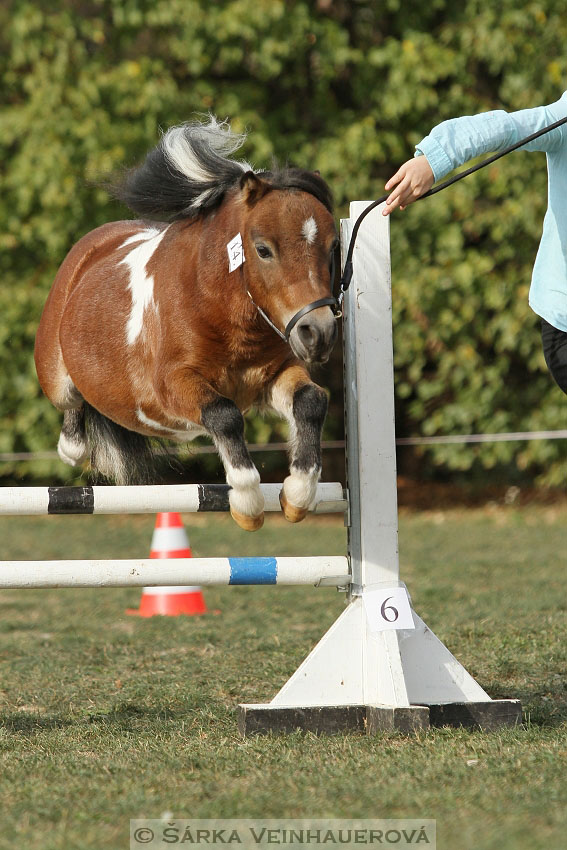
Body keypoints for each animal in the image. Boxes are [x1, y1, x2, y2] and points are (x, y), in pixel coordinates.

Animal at [35, 117, 340, 528]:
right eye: (263, 249)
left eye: (332, 247)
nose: (318, 334)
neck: (220, 311)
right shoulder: (172, 387)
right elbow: (224, 416)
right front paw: (248, 503)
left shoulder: (268, 379)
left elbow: (311, 401)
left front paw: (297, 494)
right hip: (57, 378)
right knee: (71, 404)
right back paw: (72, 446)